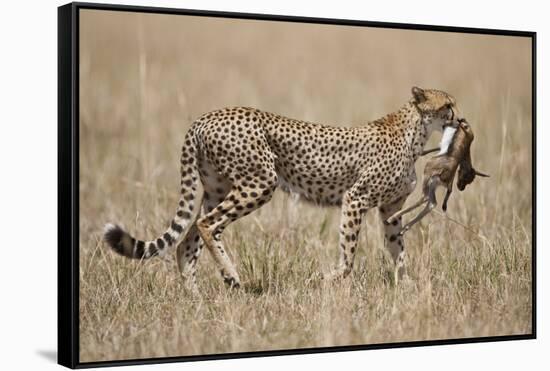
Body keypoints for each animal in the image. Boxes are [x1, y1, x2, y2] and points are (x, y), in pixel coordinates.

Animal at [103, 88, 462, 290]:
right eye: (448, 105)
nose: (460, 121)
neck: (416, 132)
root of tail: (206, 117)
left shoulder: (390, 209)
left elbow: (399, 250)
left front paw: (408, 287)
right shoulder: (356, 199)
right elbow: (348, 258)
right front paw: (324, 281)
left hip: (218, 189)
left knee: (186, 239)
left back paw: (193, 296)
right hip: (261, 182)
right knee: (206, 225)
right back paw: (230, 275)